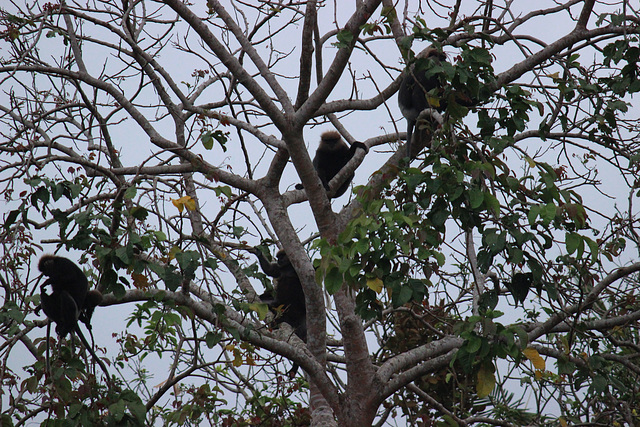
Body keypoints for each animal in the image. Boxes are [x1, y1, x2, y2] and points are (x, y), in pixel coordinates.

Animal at [33, 254, 110, 384]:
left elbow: (70, 277)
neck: (55, 263)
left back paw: (67, 325)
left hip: (73, 308)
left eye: (46, 272)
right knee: (48, 296)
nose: (46, 275)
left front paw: (48, 281)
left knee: (63, 294)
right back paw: (60, 324)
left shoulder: (62, 265)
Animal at [250, 247, 308, 378]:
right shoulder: (280, 268)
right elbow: (271, 271)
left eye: (282, 257)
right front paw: (258, 253)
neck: (289, 267)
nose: (279, 260)